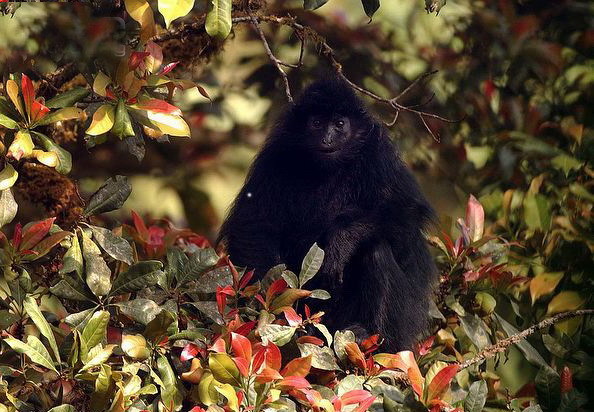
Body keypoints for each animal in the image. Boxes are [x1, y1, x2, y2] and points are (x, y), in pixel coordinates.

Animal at [217, 78, 434, 350]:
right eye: (317, 123)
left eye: (339, 124)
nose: (327, 139)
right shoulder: (275, 156)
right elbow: (253, 224)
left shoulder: (379, 157)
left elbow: (406, 216)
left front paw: (343, 239)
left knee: (376, 251)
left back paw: (367, 332)